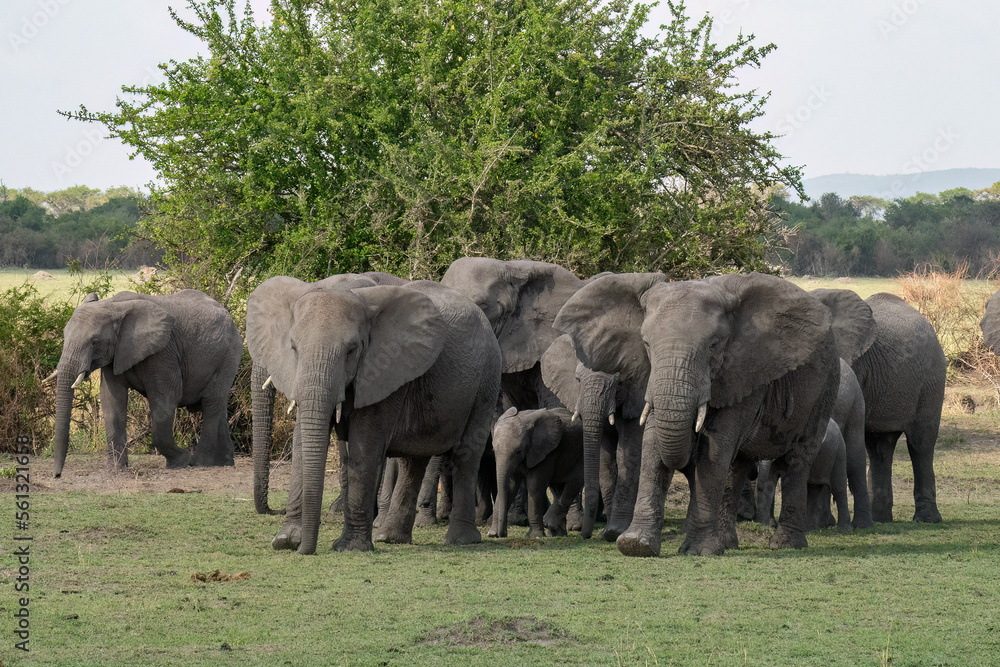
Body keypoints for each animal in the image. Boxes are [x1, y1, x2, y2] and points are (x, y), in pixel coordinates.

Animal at [51, 289, 243, 476]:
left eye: (95, 342)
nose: (57, 475)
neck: (113, 305)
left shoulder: (163, 352)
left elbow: (166, 399)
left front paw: (180, 461)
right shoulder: (116, 354)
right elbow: (111, 399)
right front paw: (116, 469)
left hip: (228, 356)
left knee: (211, 402)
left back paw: (198, 462)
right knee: (218, 405)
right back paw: (224, 462)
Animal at [246, 276, 501, 554]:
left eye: (352, 350)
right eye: (293, 347)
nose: (307, 549)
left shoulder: (385, 368)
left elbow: (364, 447)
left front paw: (349, 548)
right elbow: (303, 442)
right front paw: (286, 541)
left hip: (486, 379)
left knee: (466, 454)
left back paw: (460, 540)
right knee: (414, 460)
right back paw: (390, 538)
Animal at [487, 406, 584, 538]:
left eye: (519, 451)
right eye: (493, 450)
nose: (503, 534)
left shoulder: (545, 452)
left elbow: (534, 487)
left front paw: (535, 536)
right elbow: (510, 487)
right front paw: (492, 534)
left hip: (580, 455)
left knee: (574, 483)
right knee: (558, 488)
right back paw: (557, 534)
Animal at [556, 272, 872, 557]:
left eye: (714, 345)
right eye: (645, 344)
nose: (588, 536)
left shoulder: (745, 369)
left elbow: (716, 446)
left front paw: (698, 551)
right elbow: (654, 440)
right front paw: (636, 546)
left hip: (825, 386)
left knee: (797, 458)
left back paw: (786, 545)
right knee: (737, 465)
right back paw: (728, 544)